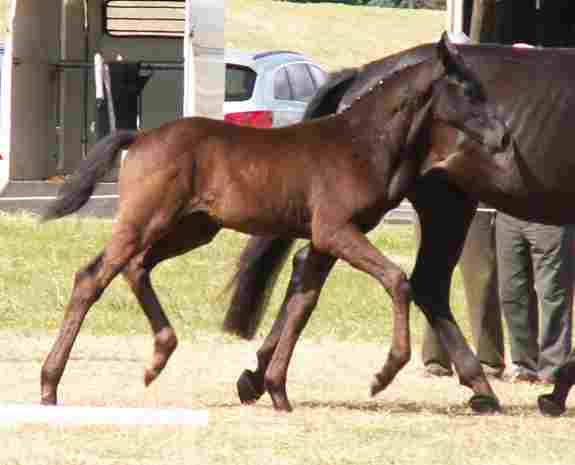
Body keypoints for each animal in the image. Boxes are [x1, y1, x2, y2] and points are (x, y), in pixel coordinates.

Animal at [38, 35, 510, 410]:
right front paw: (383, 374)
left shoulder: (326, 239)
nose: (503, 136)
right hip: (145, 221)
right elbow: (397, 279)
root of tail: (139, 137)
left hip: (193, 228)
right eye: (468, 90)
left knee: (136, 268)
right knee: (92, 277)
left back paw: (157, 358)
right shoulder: (335, 230)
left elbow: (303, 303)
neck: (362, 143)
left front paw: (276, 390)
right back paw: (49, 384)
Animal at [225, 40, 575, 416]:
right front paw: (556, 393)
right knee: (424, 283)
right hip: (441, 206)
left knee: (315, 271)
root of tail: (360, 76)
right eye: (469, 93)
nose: (505, 138)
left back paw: (258, 376)